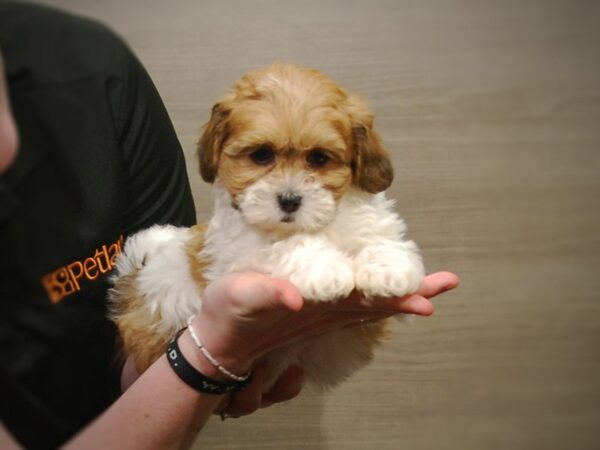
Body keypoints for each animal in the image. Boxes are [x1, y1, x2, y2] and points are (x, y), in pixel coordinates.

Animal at [109, 62, 426, 390]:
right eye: (261, 155)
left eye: (319, 158)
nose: (289, 200)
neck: (317, 225)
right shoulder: (241, 255)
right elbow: (285, 246)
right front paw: (324, 270)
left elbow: (378, 237)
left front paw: (390, 270)